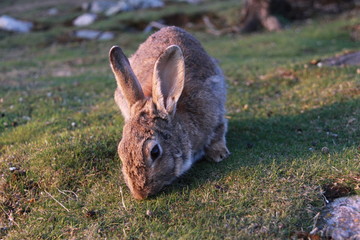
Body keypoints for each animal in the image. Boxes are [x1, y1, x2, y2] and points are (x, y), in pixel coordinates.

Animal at [108, 26, 229, 200]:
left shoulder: (214, 109)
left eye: (155, 152)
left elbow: (218, 132)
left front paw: (219, 154)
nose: (140, 194)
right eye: (121, 150)